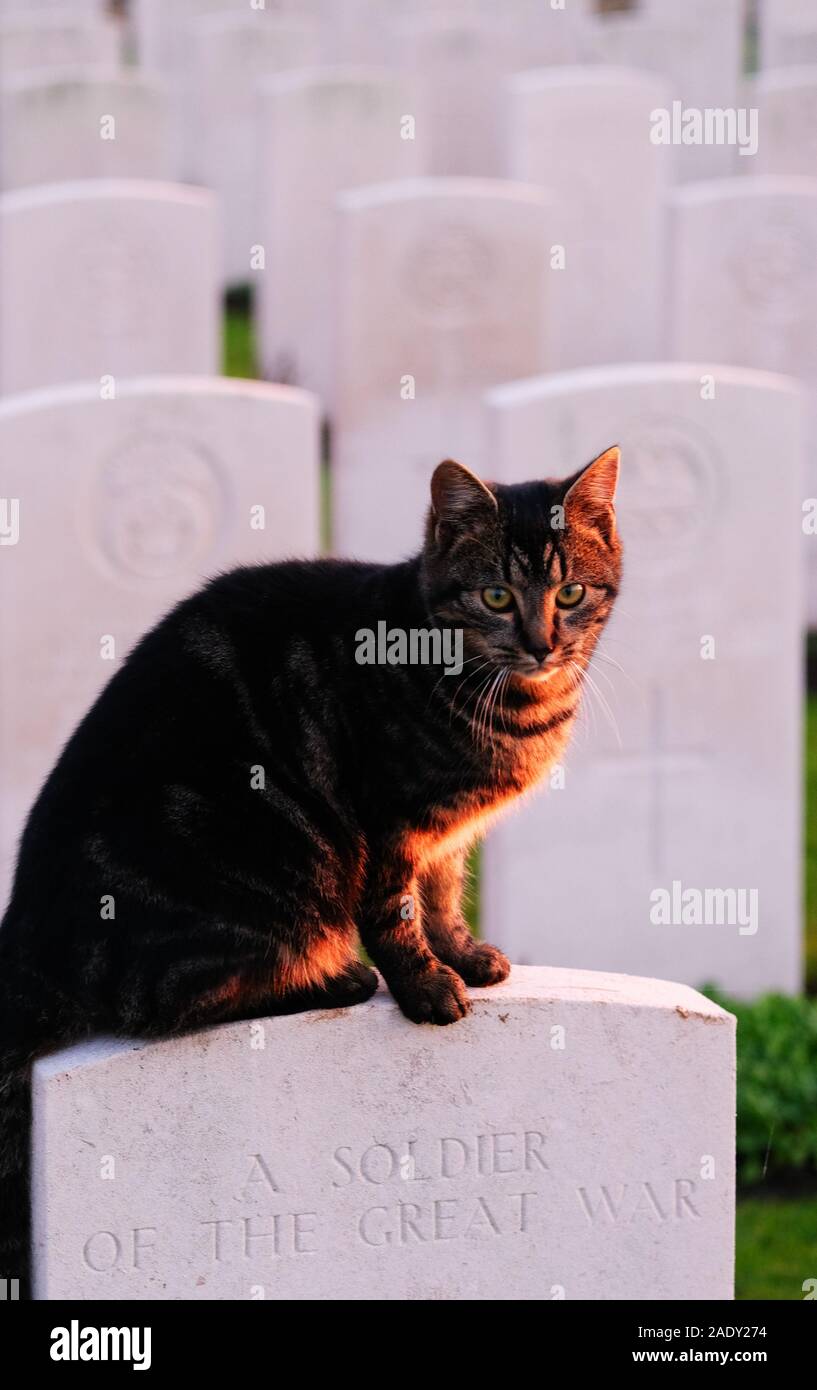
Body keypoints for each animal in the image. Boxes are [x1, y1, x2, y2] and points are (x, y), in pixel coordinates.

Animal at [0, 450, 619, 1295]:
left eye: (570, 593)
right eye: (496, 595)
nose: (542, 643)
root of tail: (22, 944)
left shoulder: (445, 834)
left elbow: (441, 895)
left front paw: (464, 956)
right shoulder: (389, 819)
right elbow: (395, 912)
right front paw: (425, 988)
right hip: (261, 864)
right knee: (168, 1001)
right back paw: (335, 977)